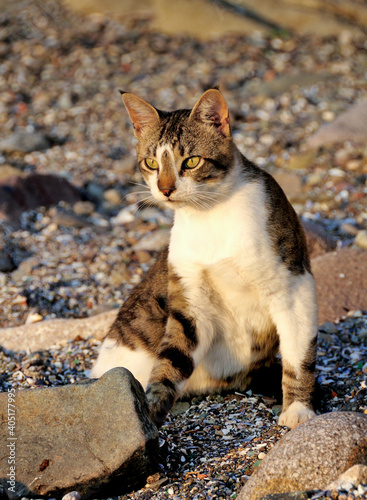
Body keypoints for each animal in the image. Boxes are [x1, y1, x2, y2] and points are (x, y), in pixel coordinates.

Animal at [90, 88, 318, 428]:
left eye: (192, 161)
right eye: (151, 163)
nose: (165, 189)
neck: (209, 213)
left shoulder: (293, 286)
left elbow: (298, 355)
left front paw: (299, 410)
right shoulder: (191, 299)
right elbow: (171, 360)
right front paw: (150, 413)